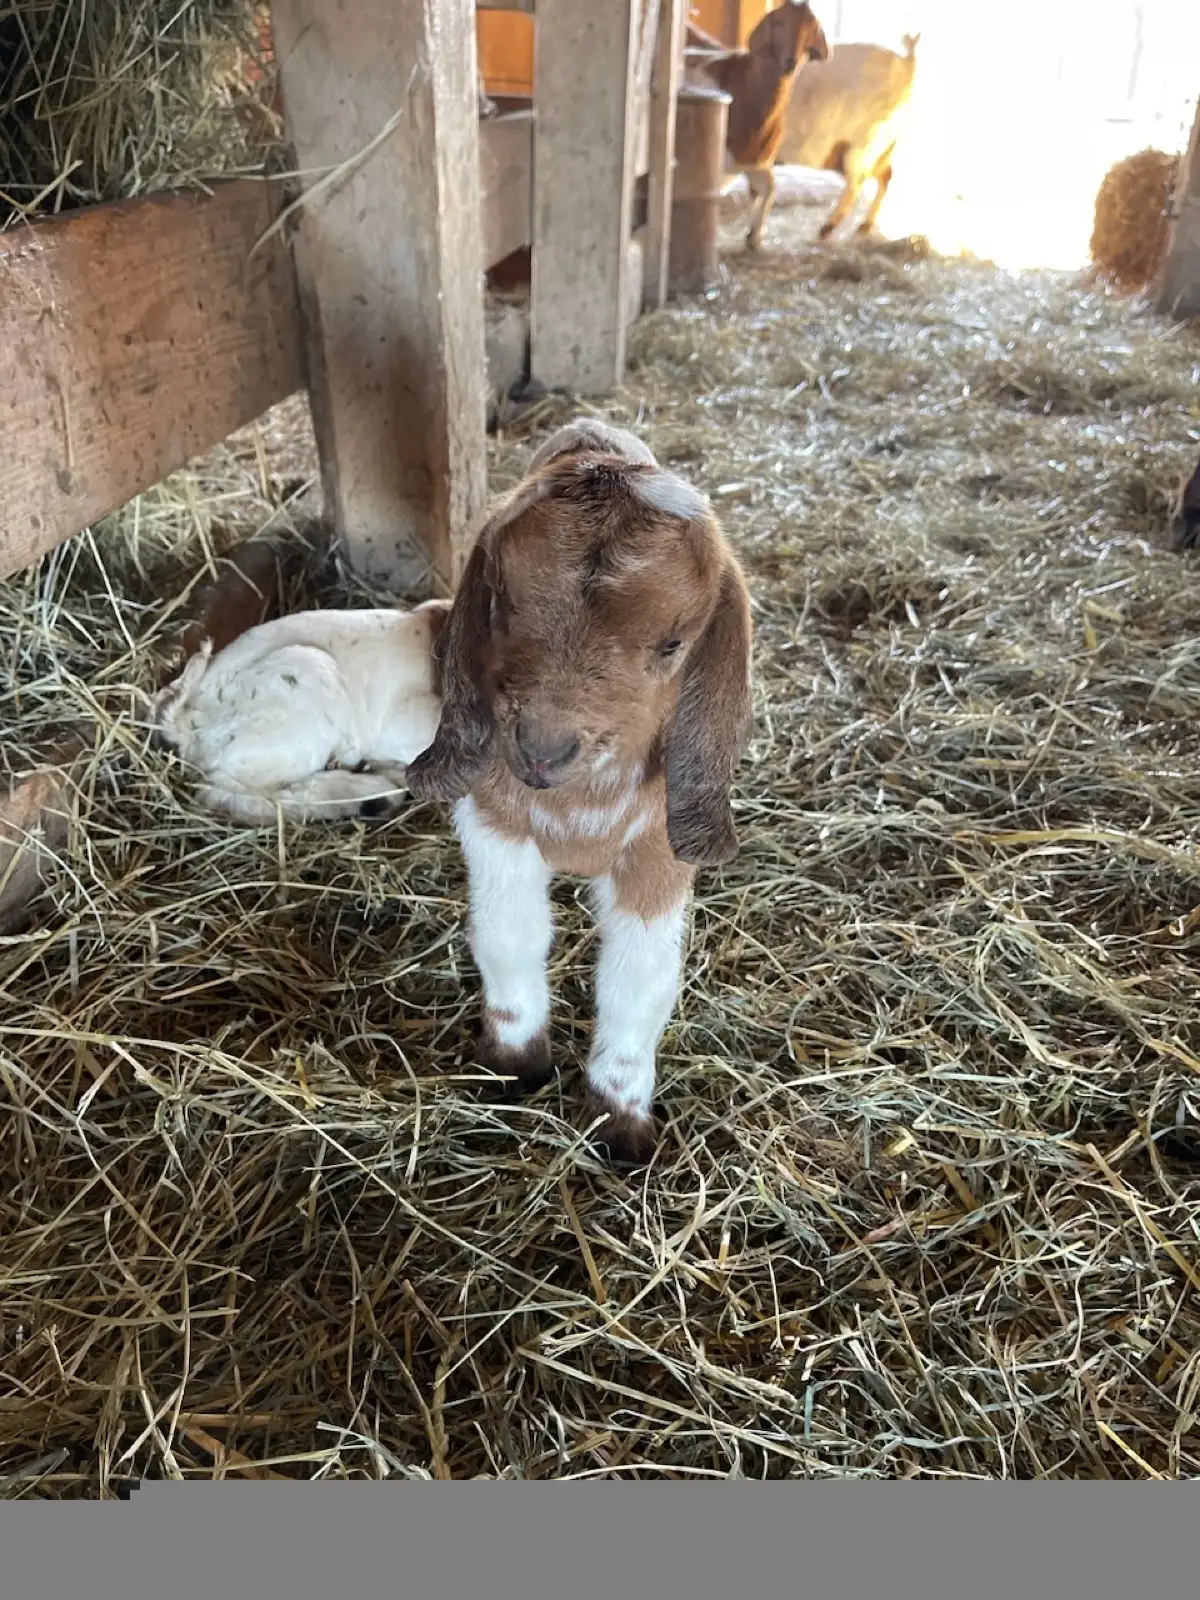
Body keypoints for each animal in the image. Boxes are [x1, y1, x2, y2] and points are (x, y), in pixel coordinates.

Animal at [405, 420, 754, 1165]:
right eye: (501, 599)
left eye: (673, 644)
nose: (541, 751)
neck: (575, 812)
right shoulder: (495, 821)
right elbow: (509, 935)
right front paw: (515, 1066)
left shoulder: (658, 853)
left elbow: (638, 981)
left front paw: (620, 1125)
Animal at [701, 2, 830, 251]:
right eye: (779, 22)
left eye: (811, 27)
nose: (791, 62)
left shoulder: (753, 161)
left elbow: (767, 187)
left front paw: (753, 236)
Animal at [777, 33, 920, 240]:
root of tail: (907, 64)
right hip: (880, 148)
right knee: (885, 175)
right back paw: (864, 225)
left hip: (863, 144)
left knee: (859, 182)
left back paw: (827, 228)